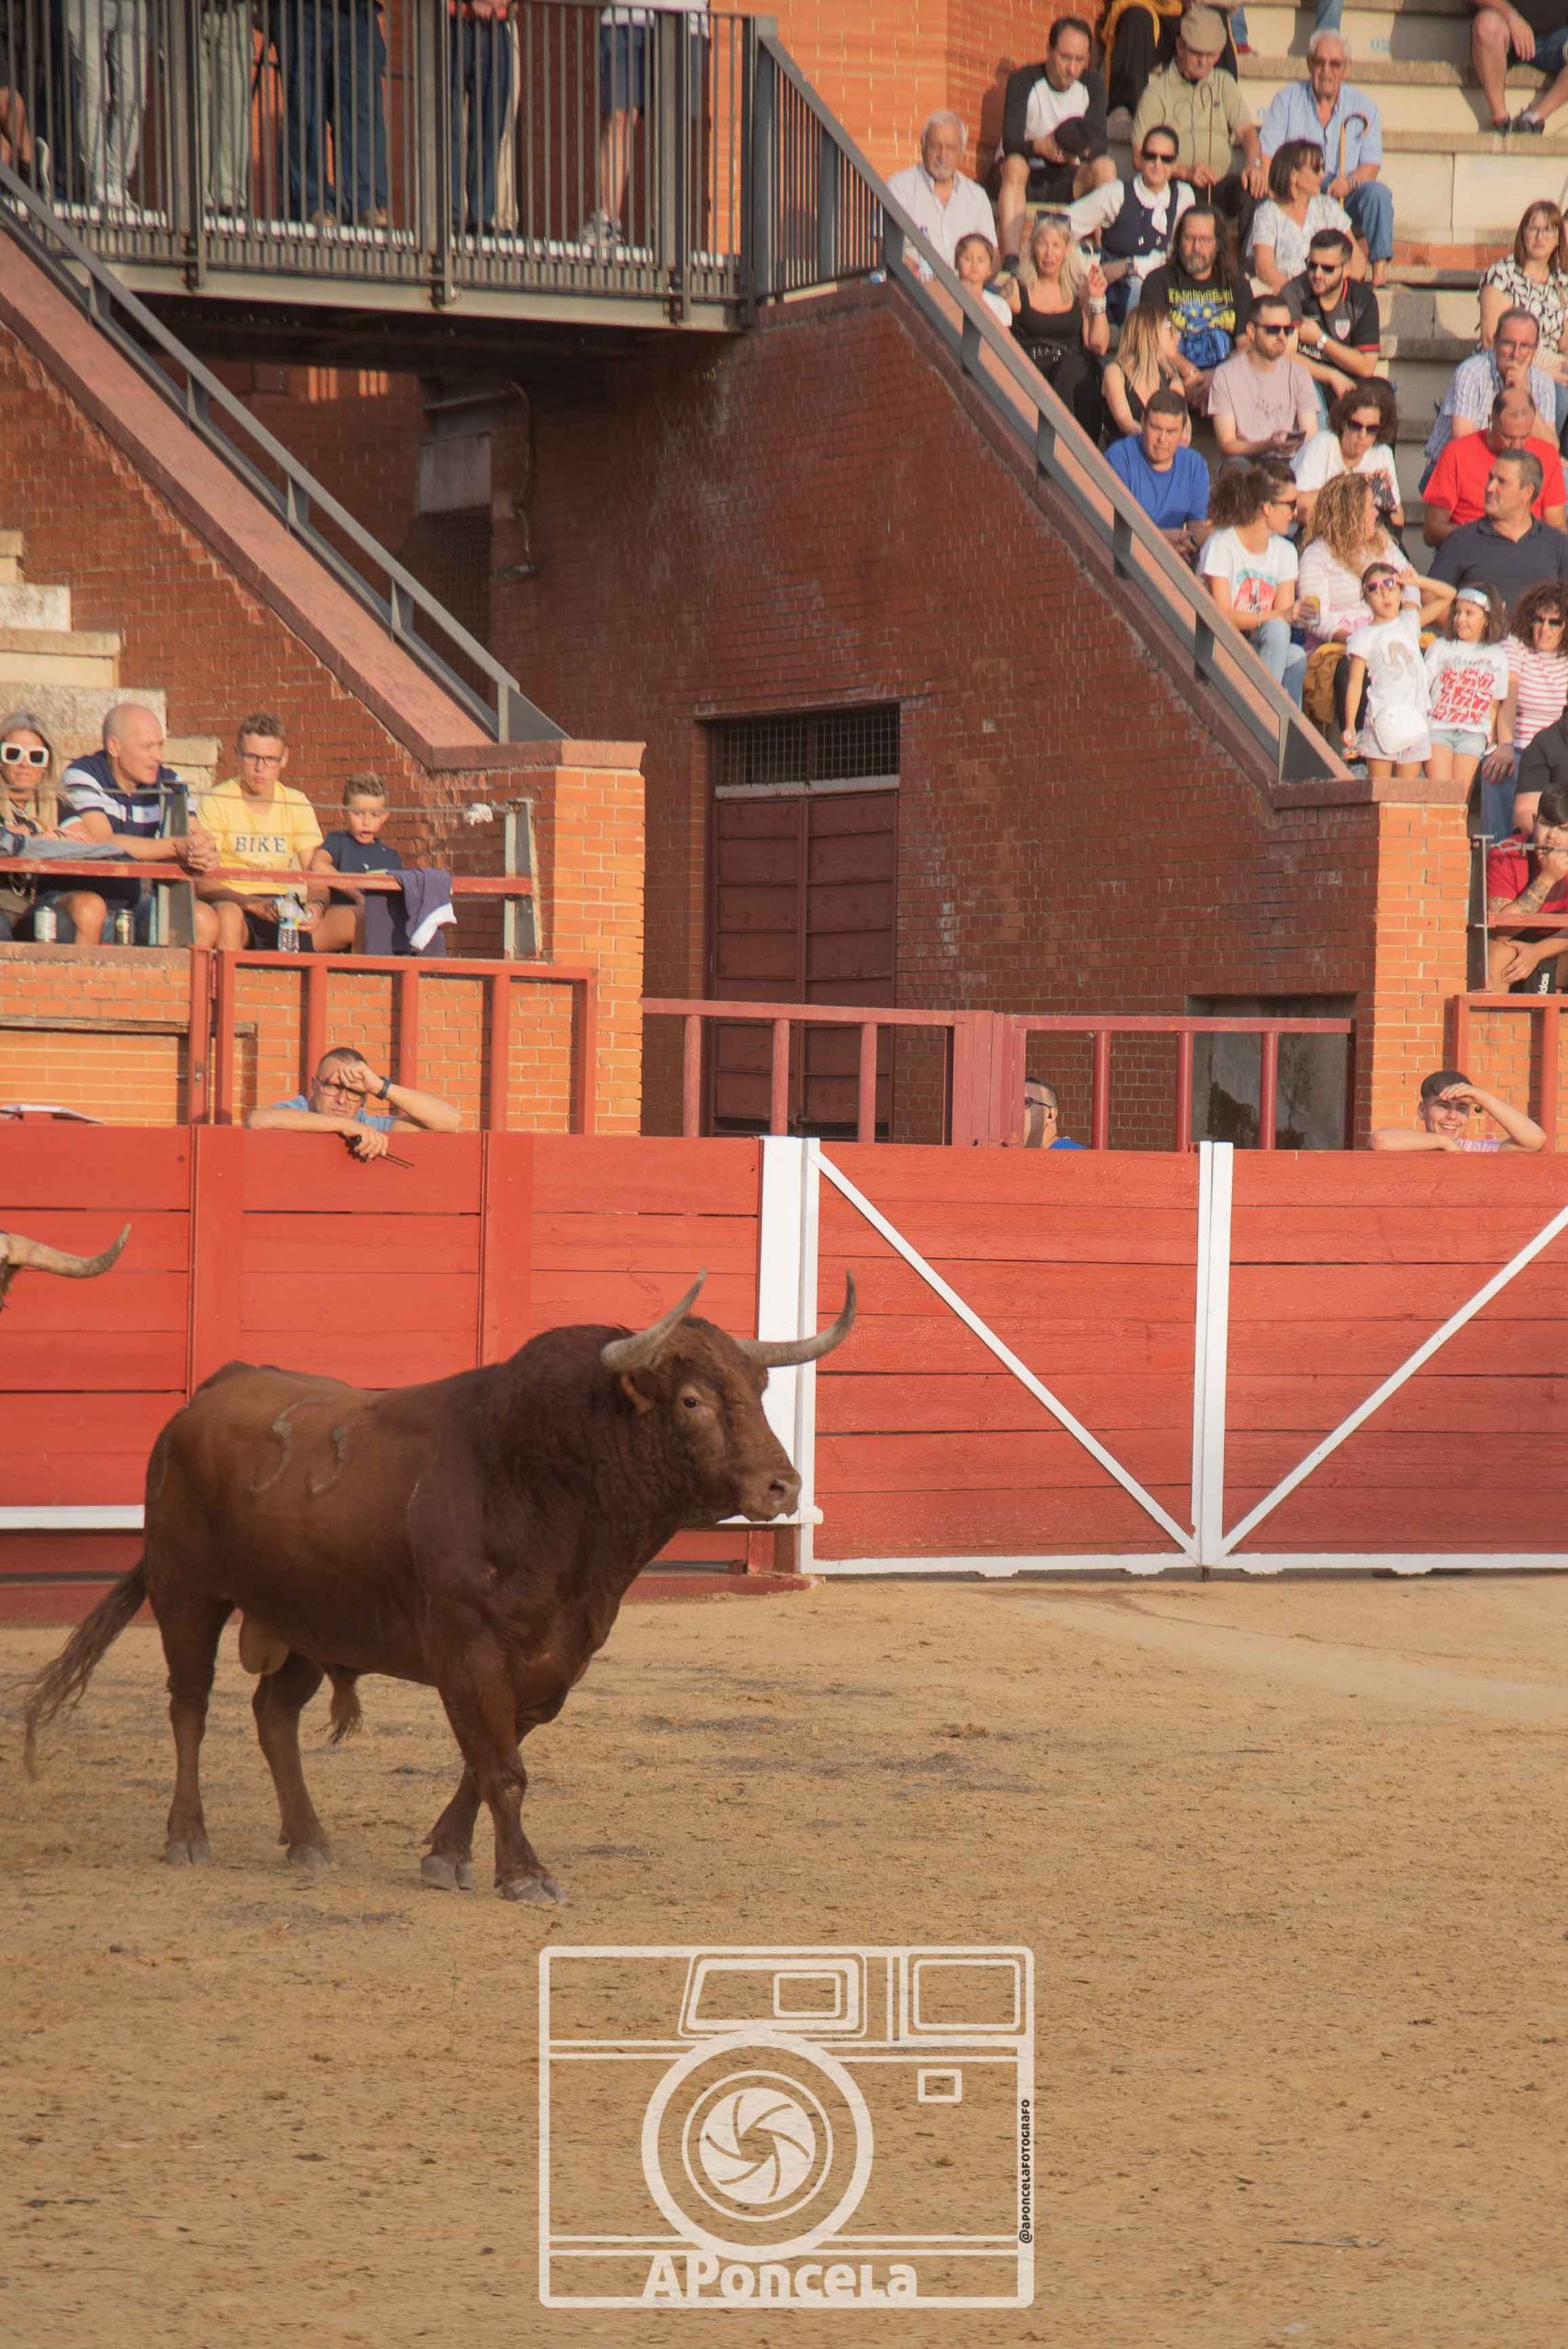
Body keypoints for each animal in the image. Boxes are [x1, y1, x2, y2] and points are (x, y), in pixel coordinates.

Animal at [15, 1240, 854, 1905]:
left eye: (757, 1392)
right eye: (690, 1401)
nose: (781, 1488)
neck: (543, 1479)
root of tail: (216, 1386)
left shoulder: (553, 1660)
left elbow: (485, 1762)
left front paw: (446, 1856)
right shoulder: (470, 1650)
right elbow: (502, 1768)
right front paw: (525, 1876)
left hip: (309, 1619)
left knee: (273, 1714)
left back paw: (307, 1840)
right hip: (186, 1592)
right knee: (188, 1706)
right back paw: (187, 1835)